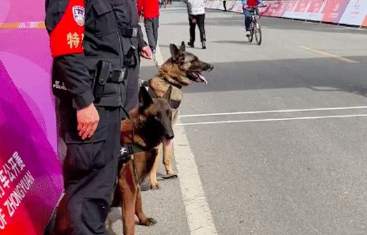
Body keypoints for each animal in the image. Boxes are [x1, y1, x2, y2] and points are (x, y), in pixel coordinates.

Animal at [145, 41, 214, 189]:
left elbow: (167, 155)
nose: (212, 66)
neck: (169, 81)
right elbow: (154, 161)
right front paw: (153, 182)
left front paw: (169, 172)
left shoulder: (169, 130)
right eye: (194, 60)